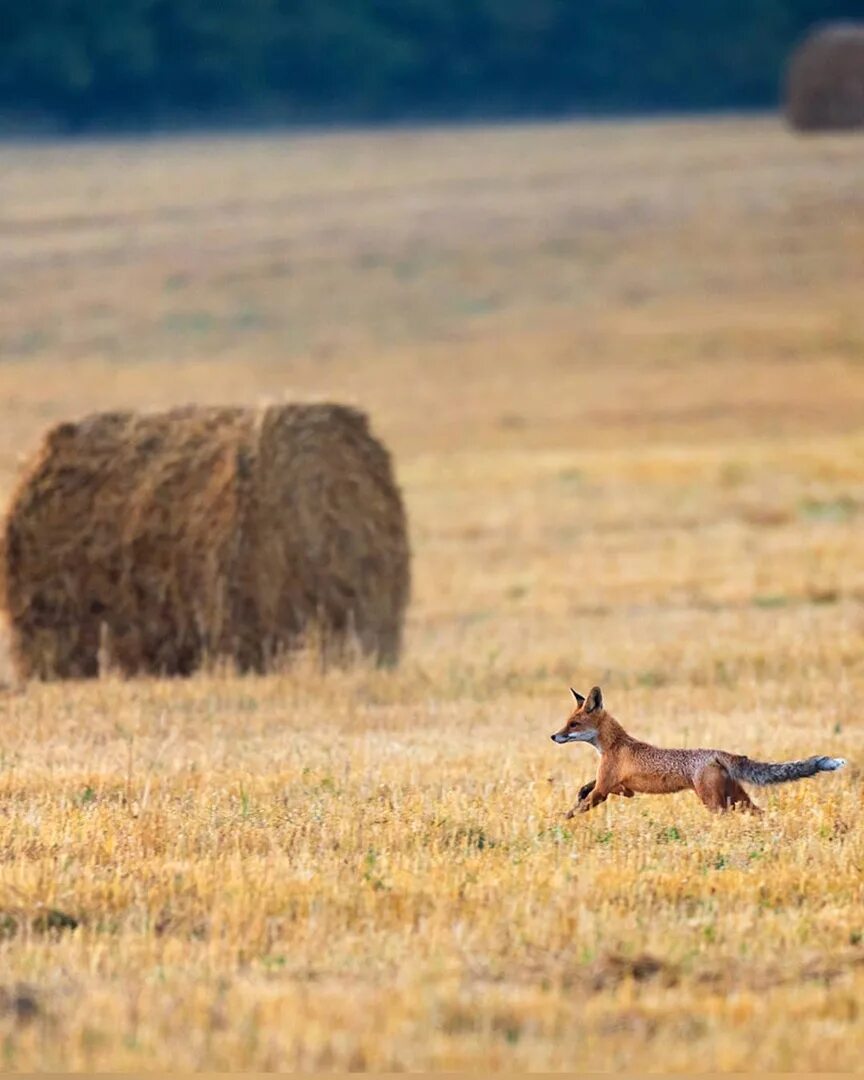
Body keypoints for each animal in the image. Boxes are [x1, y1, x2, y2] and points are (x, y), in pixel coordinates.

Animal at [550, 686, 846, 812]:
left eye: (573, 724)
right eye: (566, 722)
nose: (554, 736)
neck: (614, 745)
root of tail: (717, 753)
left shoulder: (605, 788)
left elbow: (578, 809)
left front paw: (561, 824)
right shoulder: (617, 787)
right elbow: (587, 788)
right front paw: (578, 794)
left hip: (714, 802)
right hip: (737, 799)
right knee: (759, 813)